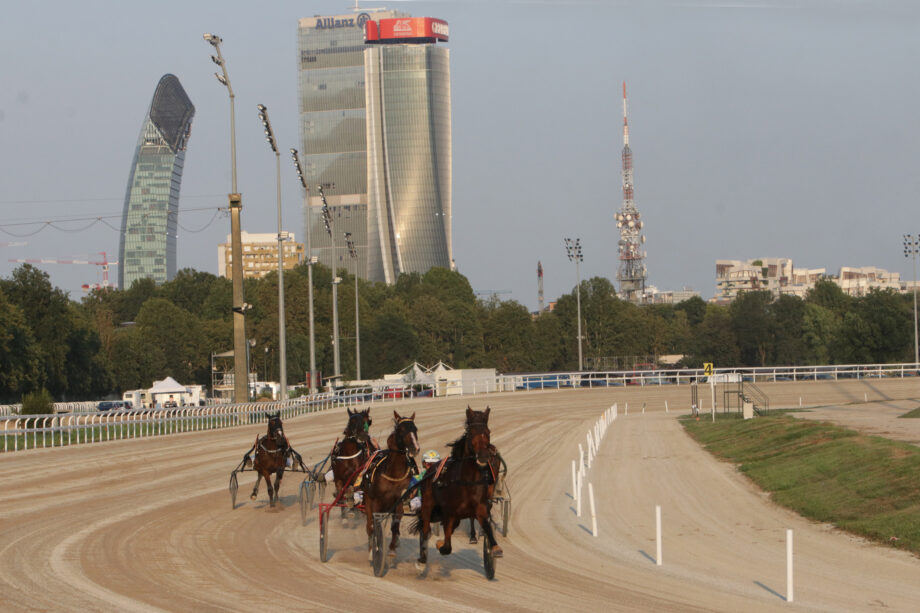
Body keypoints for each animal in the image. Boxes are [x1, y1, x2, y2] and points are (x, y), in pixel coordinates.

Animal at [360, 412, 420, 564]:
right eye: (401, 430)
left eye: (415, 429)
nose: (415, 449)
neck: (393, 473)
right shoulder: (376, 502)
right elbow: (374, 525)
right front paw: (375, 550)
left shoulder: (398, 501)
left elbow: (395, 525)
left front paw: (392, 548)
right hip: (368, 500)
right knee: (369, 525)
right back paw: (371, 550)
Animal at [416, 406, 504, 568]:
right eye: (471, 432)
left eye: (488, 432)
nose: (483, 456)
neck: (466, 481)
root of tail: (432, 469)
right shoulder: (449, 513)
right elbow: (446, 547)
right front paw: (440, 544)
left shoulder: (480, 508)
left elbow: (487, 527)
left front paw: (494, 548)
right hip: (427, 502)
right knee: (425, 529)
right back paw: (422, 559)